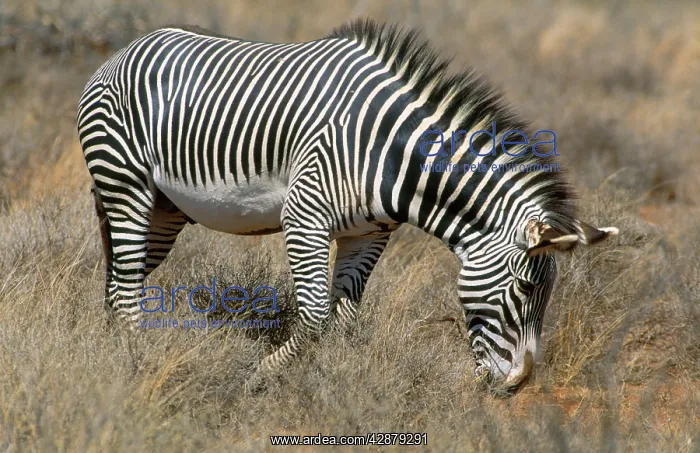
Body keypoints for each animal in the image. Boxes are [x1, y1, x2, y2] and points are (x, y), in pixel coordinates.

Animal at [77, 19, 618, 394]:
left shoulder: (369, 233)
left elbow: (344, 317)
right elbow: (316, 315)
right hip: (124, 183)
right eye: (526, 289)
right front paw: (259, 379)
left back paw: (112, 349)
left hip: (164, 211)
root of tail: (126, 49)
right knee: (127, 282)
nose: (517, 387)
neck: (392, 153)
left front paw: (336, 382)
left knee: (120, 276)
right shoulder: (304, 217)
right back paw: (135, 363)